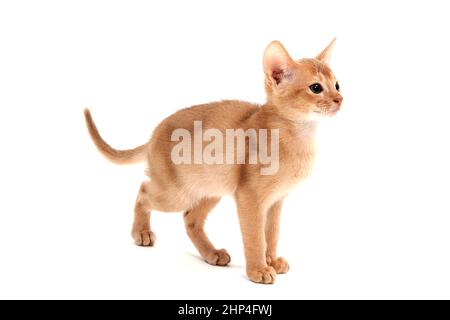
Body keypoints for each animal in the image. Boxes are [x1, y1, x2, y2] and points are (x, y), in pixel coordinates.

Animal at [84, 38, 342, 284]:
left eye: (337, 84)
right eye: (316, 88)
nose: (340, 99)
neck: (298, 136)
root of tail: (153, 135)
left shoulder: (276, 201)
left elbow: (272, 233)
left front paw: (272, 261)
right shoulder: (249, 198)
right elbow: (255, 237)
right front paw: (258, 270)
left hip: (211, 187)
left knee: (190, 219)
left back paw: (212, 254)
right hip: (176, 193)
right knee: (144, 191)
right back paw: (142, 233)